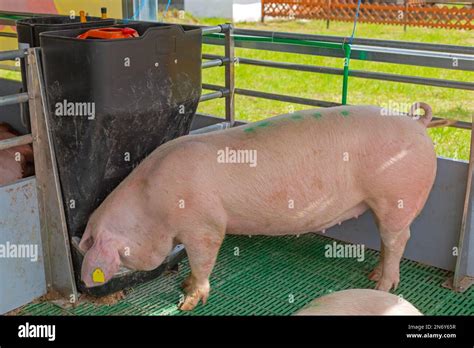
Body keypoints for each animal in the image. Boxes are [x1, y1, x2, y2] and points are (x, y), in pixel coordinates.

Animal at [79, 102, 438, 310]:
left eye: (98, 244)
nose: (86, 284)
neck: (151, 206)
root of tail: (417, 124)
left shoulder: (205, 225)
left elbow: (203, 260)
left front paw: (188, 302)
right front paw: (183, 286)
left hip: (397, 196)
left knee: (399, 240)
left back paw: (380, 285)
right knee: (388, 240)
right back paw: (373, 273)